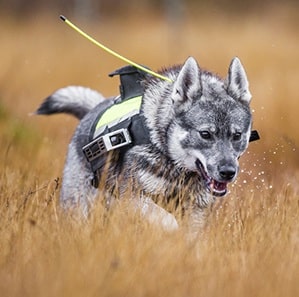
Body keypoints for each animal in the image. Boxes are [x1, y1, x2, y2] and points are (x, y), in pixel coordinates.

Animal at [35, 56, 256, 231]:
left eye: (237, 135)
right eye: (205, 134)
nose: (228, 172)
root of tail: (91, 110)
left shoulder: (196, 211)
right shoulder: (132, 198)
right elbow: (169, 222)